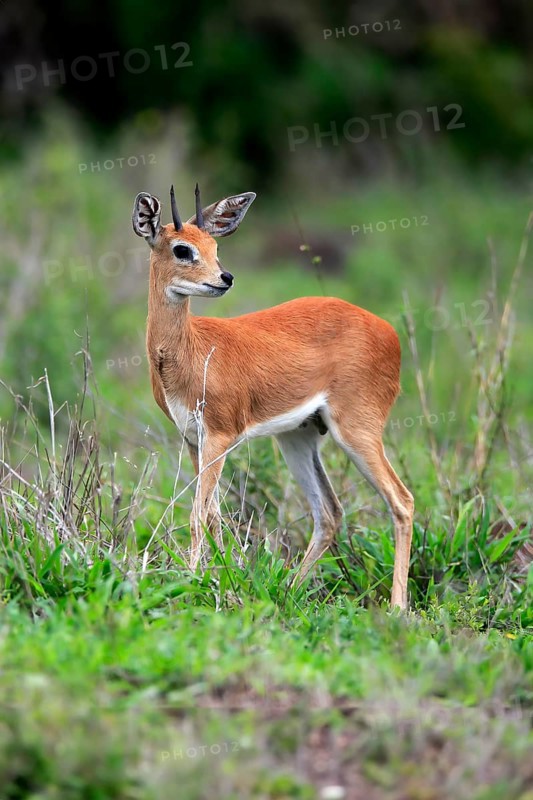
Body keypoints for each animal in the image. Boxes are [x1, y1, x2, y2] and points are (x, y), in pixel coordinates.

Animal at [132, 185, 414, 609]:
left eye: (214, 246)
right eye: (182, 249)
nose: (225, 278)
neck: (191, 351)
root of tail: (388, 331)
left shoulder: (220, 437)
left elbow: (198, 514)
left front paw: (192, 585)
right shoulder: (194, 440)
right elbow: (212, 514)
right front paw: (221, 580)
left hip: (357, 431)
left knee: (401, 501)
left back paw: (397, 608)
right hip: (297, 436)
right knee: (329, 512)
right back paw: (290, 590)